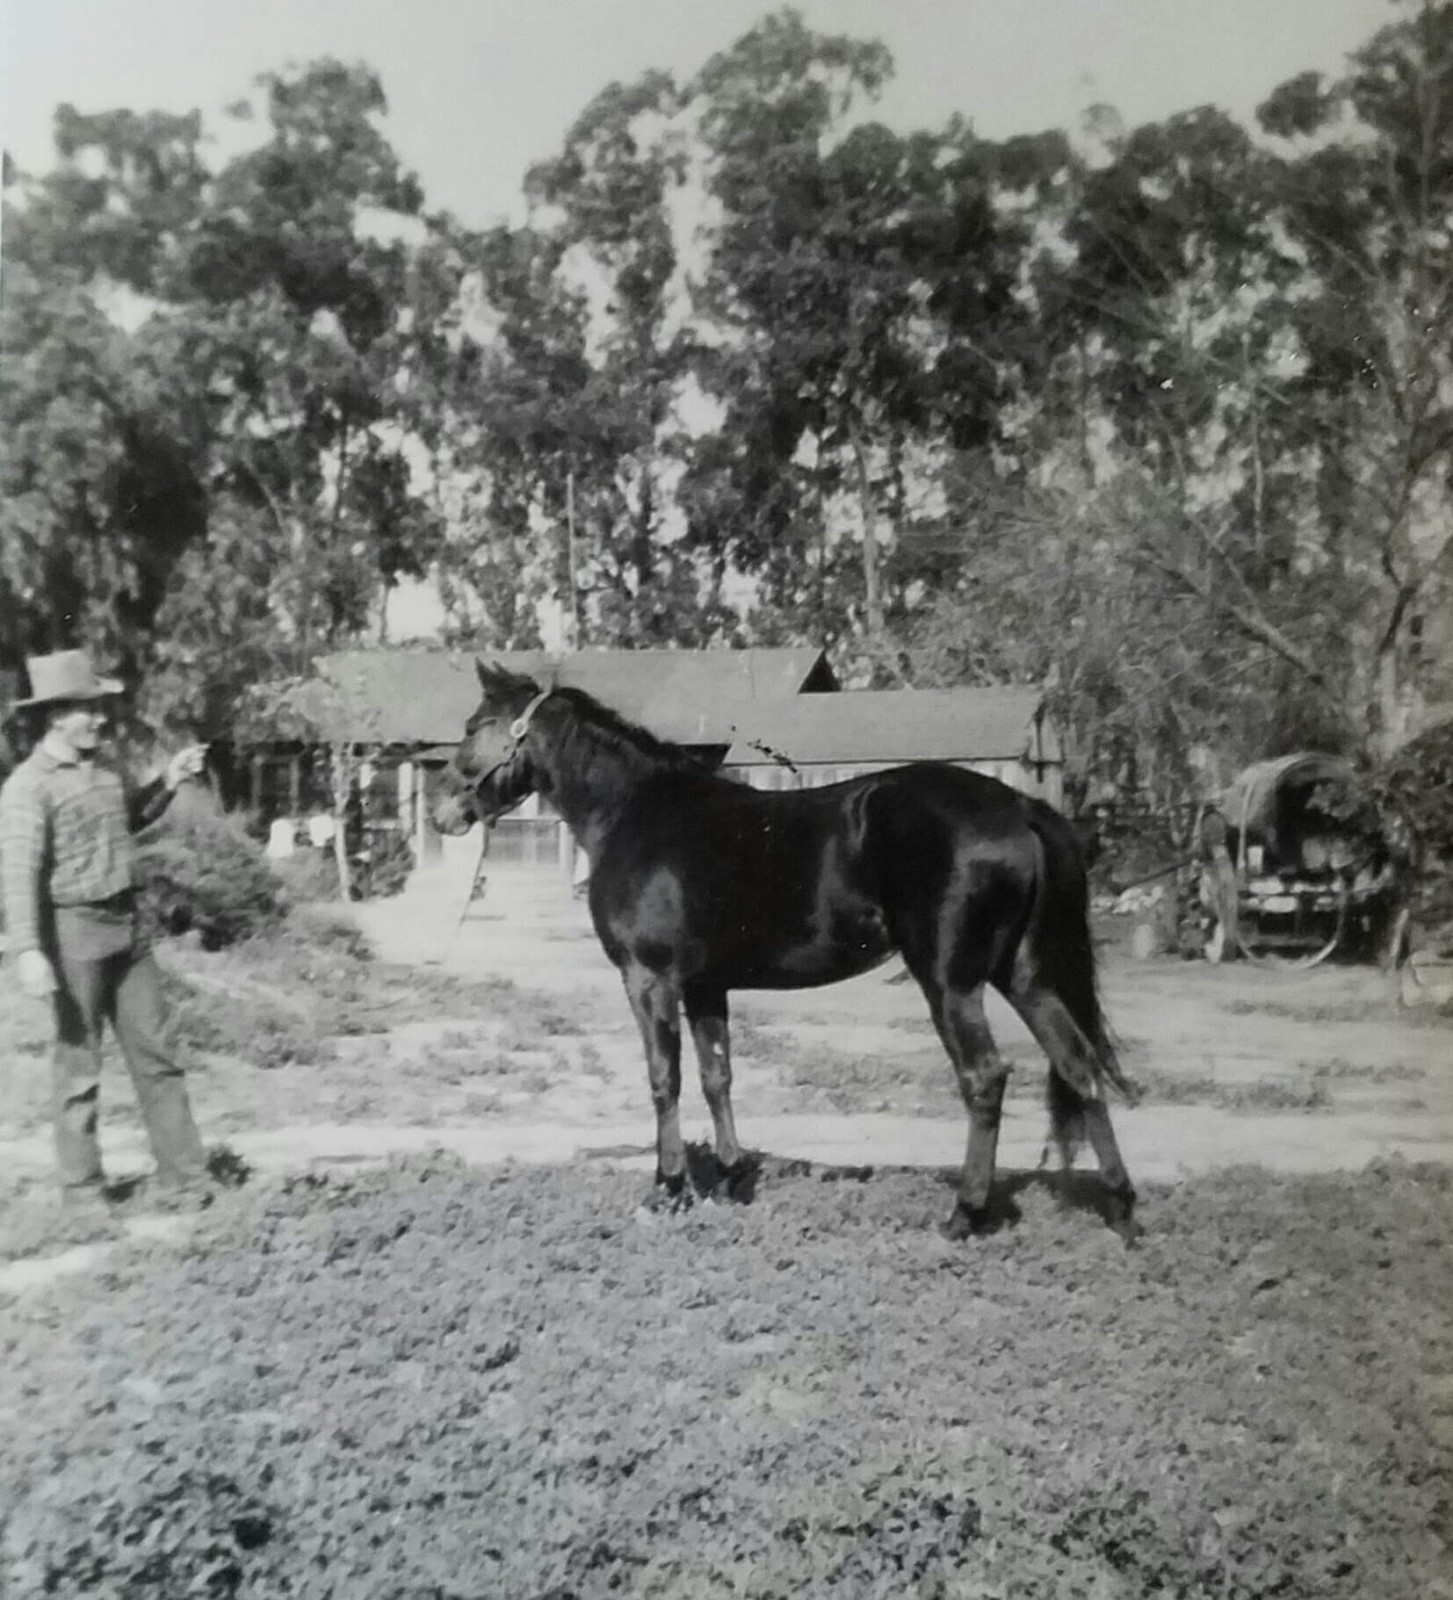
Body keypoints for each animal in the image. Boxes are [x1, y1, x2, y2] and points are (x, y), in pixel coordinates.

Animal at [438, 662, 1139, 1235]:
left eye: (475, 726)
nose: (447, 811)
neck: (638, 814)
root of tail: (1020, 806)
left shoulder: (650, 979)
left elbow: (665, 1078)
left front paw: (668, 1188)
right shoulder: (706, 986)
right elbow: (717, 1076)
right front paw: (730, 1179)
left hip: (951, 982)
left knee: (985, 1078)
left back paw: (964, 1215)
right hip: (1024, 974)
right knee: (1080, 1065)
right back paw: (1121, 1208)